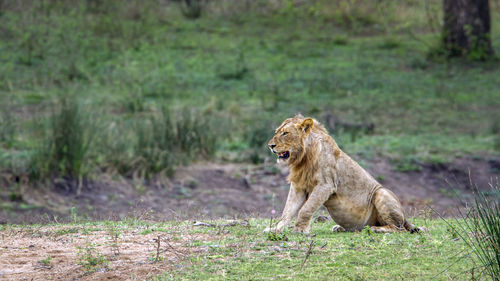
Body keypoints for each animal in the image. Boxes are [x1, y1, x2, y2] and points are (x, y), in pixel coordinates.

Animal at [264, 115, 424, 233]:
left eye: (285, 133)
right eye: (276, 132)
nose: (270, 146)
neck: (302, 159)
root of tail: (404, 217)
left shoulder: (325, 185)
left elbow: (305, 209)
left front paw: (299, 230)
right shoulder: (299, 186)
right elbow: (287, 210)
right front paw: (275, 229)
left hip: (381, 193)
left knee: (399, 228)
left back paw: (376, 229)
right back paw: (340, 228)